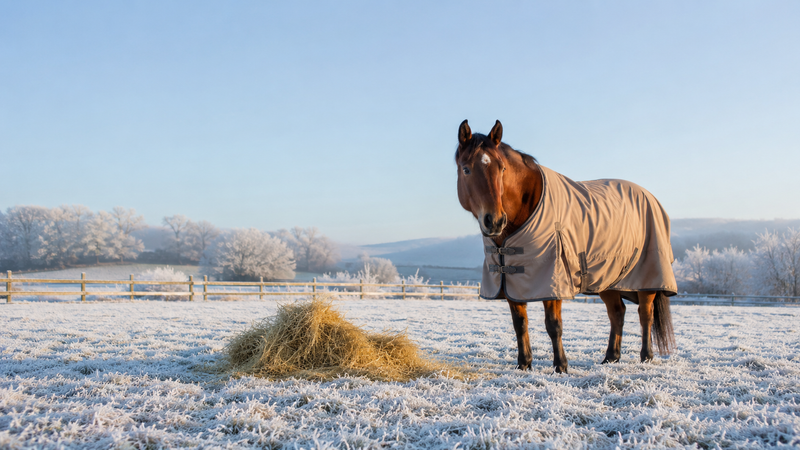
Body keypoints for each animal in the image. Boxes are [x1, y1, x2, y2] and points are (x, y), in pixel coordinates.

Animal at [455, 120, 676, 373]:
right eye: (466, 169)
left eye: (501, 169)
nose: (495, 221)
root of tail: (650, 197)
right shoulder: (511, 281)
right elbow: (519, 324)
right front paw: (524, 364)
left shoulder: (553, 279)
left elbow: (553, 325)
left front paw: (561, 366)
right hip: (609, 280)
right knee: (617, 313)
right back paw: (611, 357)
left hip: (647, 279)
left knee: (645, 315)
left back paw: (646, 356)